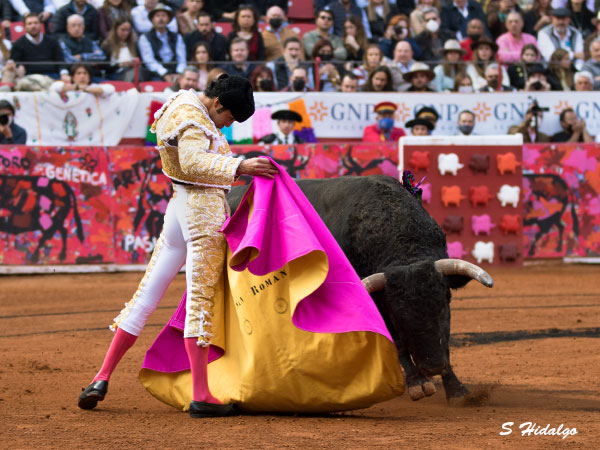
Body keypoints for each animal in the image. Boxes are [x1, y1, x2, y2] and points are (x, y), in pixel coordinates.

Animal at [227, 175, 494, 400]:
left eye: (443, 307)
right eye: (397, 317)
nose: (433, 366)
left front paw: (456, 389)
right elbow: (396, 340)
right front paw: (417, 383)